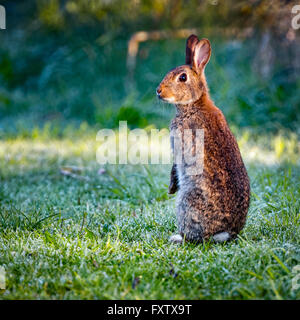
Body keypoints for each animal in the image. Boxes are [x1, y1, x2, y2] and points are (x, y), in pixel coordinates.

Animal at [157, 35, 251, 244]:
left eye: (182, 77)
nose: (159, 91)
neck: (193, 104)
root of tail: (225, 232)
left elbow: (176, 165)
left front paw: (171, 187)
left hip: (186, 201)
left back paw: (177, 238)